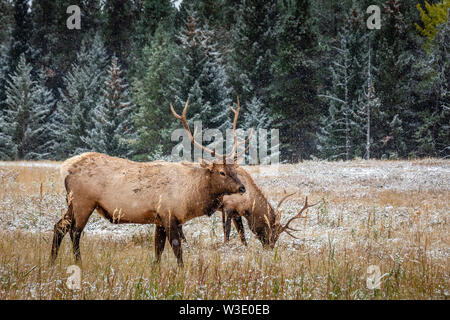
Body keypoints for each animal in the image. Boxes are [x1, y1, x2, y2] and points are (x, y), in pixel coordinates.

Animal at [51, 98, 251, 268]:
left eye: (236, 170)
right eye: (222, 172)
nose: (242, 187)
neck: (190, 197)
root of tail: (65, 168)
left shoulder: (159, 220)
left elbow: (158, 251)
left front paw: (156, 271)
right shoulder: (168, 215)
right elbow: (177, 249)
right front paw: (181, 272)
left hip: (72, 203)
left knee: (59, 226)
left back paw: (51, 262)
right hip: (83, 201)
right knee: (75, 232)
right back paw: (78, 263)